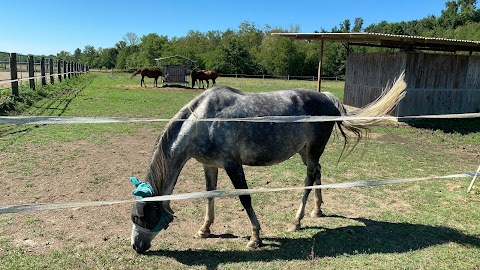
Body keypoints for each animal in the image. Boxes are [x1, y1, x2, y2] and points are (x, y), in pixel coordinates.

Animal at [129, 72, 406, 253]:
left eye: (143, 218)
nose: (136, 246)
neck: (204, 121)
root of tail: (328, 98)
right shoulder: (210, 165)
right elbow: (209, 195)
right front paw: (204, 229)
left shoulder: (232, 164)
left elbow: (245, 198)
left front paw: (255, 237)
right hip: (306, 151)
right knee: (318, 171)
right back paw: (317, 211)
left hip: (313, 150)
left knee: (309, 177)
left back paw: (296, 221)